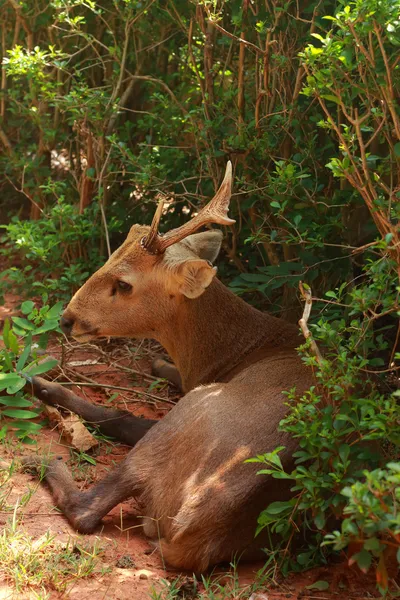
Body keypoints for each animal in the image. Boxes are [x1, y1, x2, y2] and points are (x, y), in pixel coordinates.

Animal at [22, 163, 312, 572]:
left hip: (187, 420)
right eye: (110, 256)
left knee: (88, 508)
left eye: (124, 284)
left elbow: (117, 416)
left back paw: (43, 460)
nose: (66, 318)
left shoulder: (192, 392)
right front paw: (157, 362)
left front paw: (37, 380)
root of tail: (192, 529)